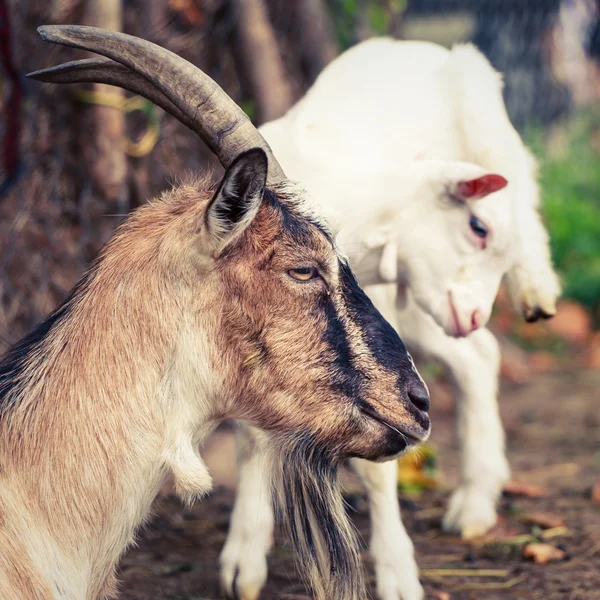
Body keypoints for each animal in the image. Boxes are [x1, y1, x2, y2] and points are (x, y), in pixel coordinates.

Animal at [221, 37, 564, 600]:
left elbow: (380, 460)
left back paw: (537, 289)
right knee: (478, 356)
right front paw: (243, 560)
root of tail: (418, 47)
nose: (475, 314)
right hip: (417, 306)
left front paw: (397, 574)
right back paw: (476, 499)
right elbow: (250, 429)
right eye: (477, 228)